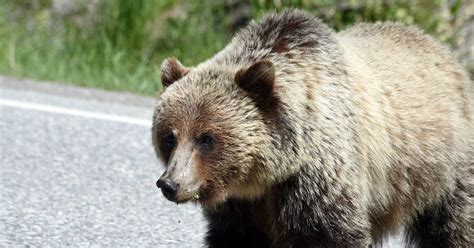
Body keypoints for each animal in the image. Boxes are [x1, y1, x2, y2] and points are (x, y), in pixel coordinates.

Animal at [154, 9, 472, 248]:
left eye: (206, 138)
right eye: (169, 137)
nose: (170, 184)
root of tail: (444, 52)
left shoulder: (319, 180)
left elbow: (328, 235)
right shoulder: (241, 207)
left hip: (445, 169)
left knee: (455, 227)